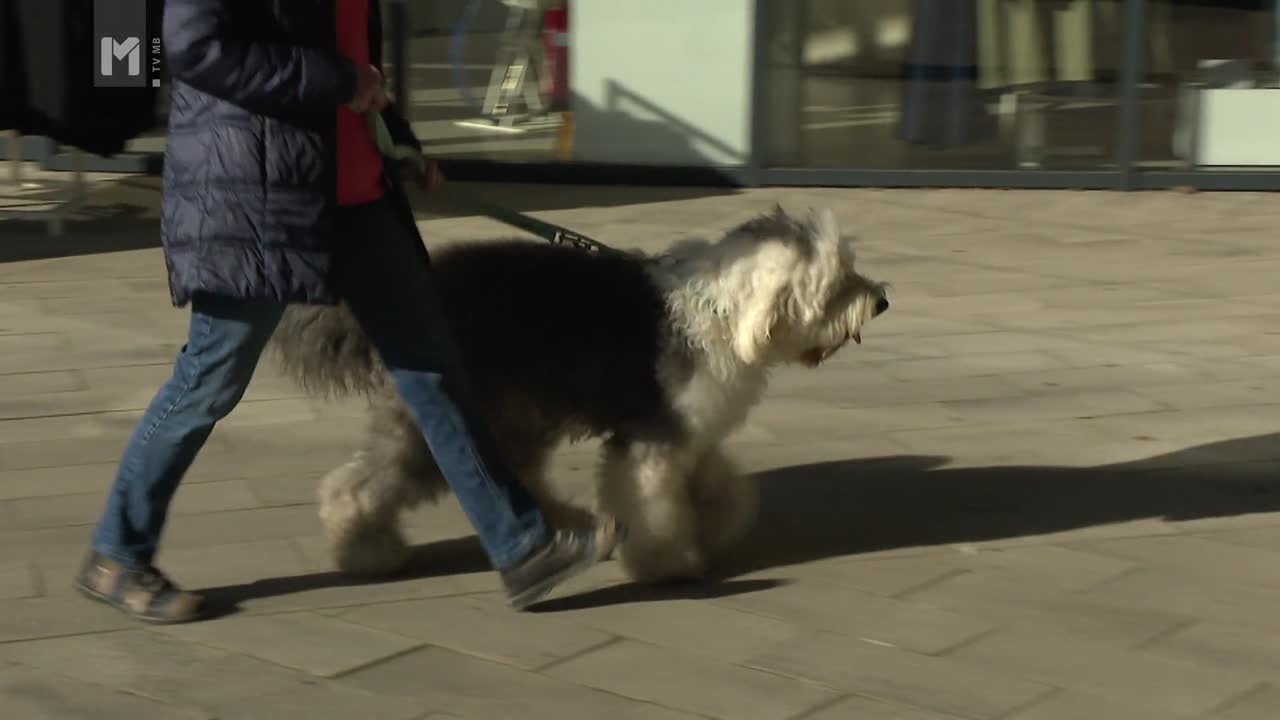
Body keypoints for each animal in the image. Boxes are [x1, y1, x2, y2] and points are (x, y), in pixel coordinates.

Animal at [269, 205, 890, 583]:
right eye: (839, 283)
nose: (882, 300)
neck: (722, 311)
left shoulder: (690, 431)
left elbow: (725, 488)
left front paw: (718, 526)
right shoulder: (652, 438)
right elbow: (653, 501)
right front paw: (666, 563)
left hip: (512, 408)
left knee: (514, 470)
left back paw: (565, 525)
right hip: (451, 407)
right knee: (362, 482)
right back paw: (364, 549)